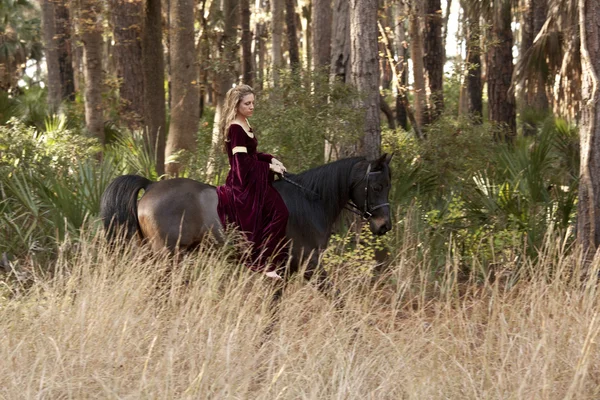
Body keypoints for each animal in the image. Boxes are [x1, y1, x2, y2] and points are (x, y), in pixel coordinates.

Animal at [99, 153, 394, 282]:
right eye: (377, 186)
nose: (384, 226)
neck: (309, 202)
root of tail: (151, 186)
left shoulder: (285, 269)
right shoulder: (309, 265)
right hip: (166, 256)